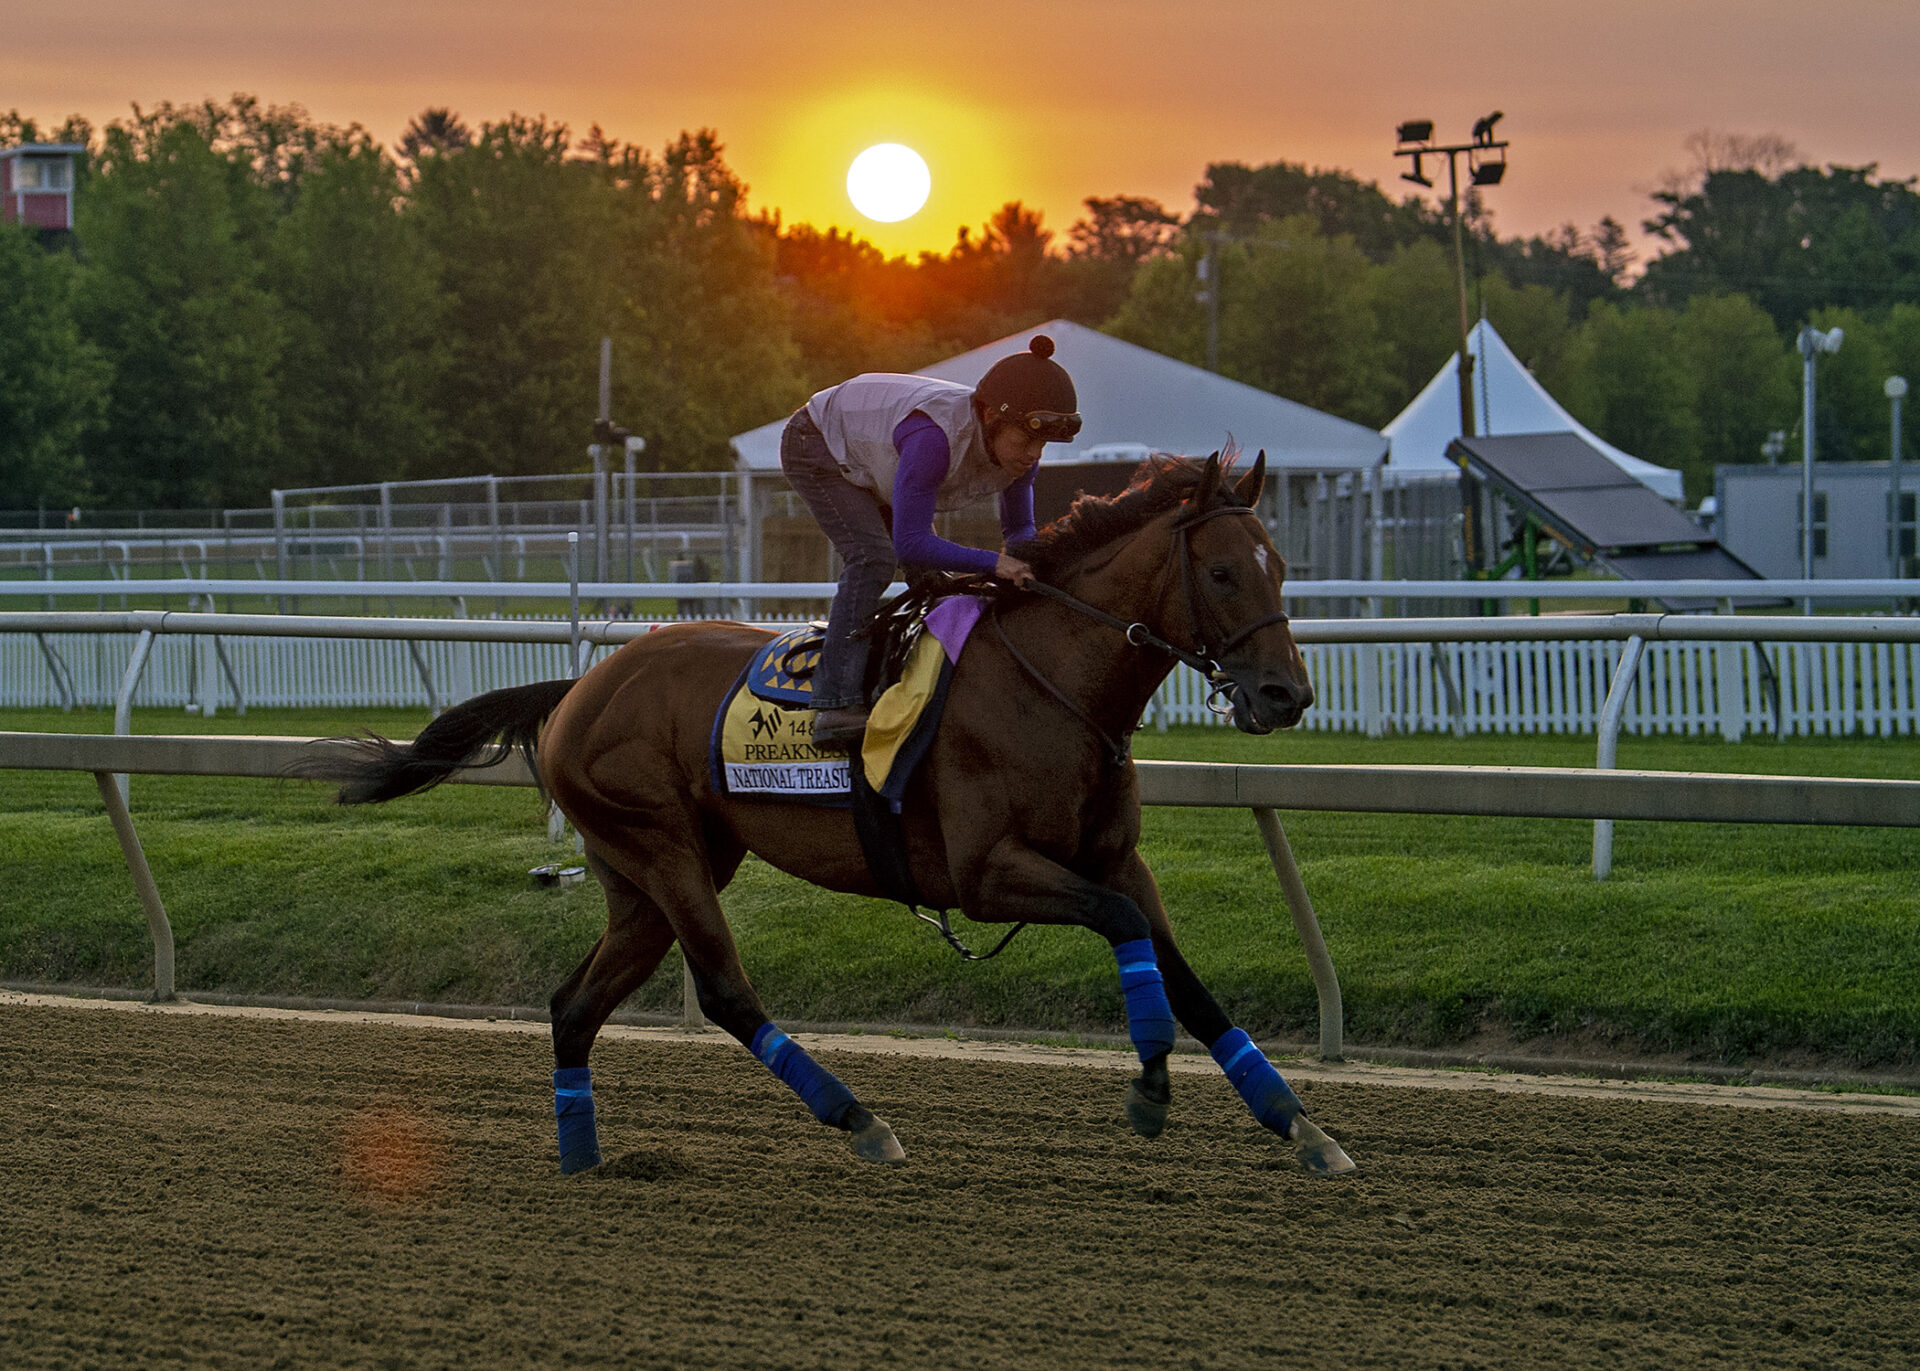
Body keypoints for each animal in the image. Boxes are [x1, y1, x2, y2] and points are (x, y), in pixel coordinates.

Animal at [291, 451, 1359, 1175]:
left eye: (1280, 565)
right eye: (1221, 571)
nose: (1286, 696)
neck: (1051, 684)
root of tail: (582, 684)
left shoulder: (1114, 857)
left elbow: (1184, 975)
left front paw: (1301, 1122)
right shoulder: (988, 872)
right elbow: (1130, 932)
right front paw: (1148, 1083)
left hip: (645, 876)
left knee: (573, 1005)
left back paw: (583, 1155)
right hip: (664, 848)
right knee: (725, 991)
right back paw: (859, 1119)